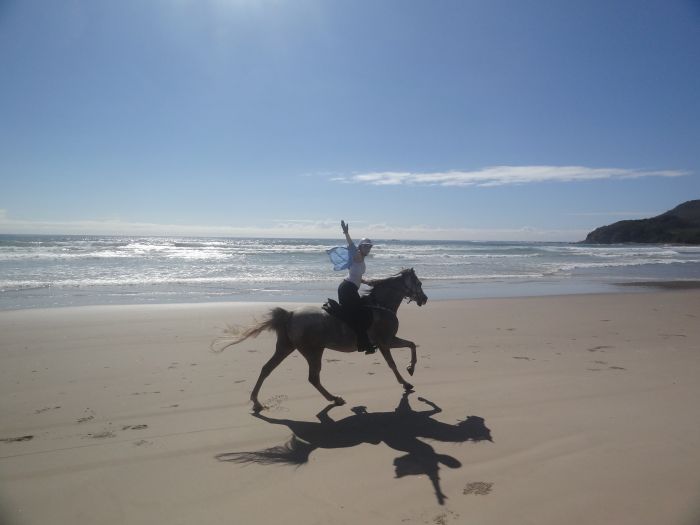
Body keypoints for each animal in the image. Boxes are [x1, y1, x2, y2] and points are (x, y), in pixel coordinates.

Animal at [213, 268, 430, 412]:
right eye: (419, 283)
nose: (425, 299)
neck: (380, 306)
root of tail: (290, 314)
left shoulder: (388, 341)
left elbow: (410, 346)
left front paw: (409, 373)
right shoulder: (386, 341)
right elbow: (398, 358)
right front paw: (408, 377)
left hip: (286, 347)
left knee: (267, 369)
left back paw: (256, 401)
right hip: (313, 351)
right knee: (313, 377)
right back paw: (334, 399)